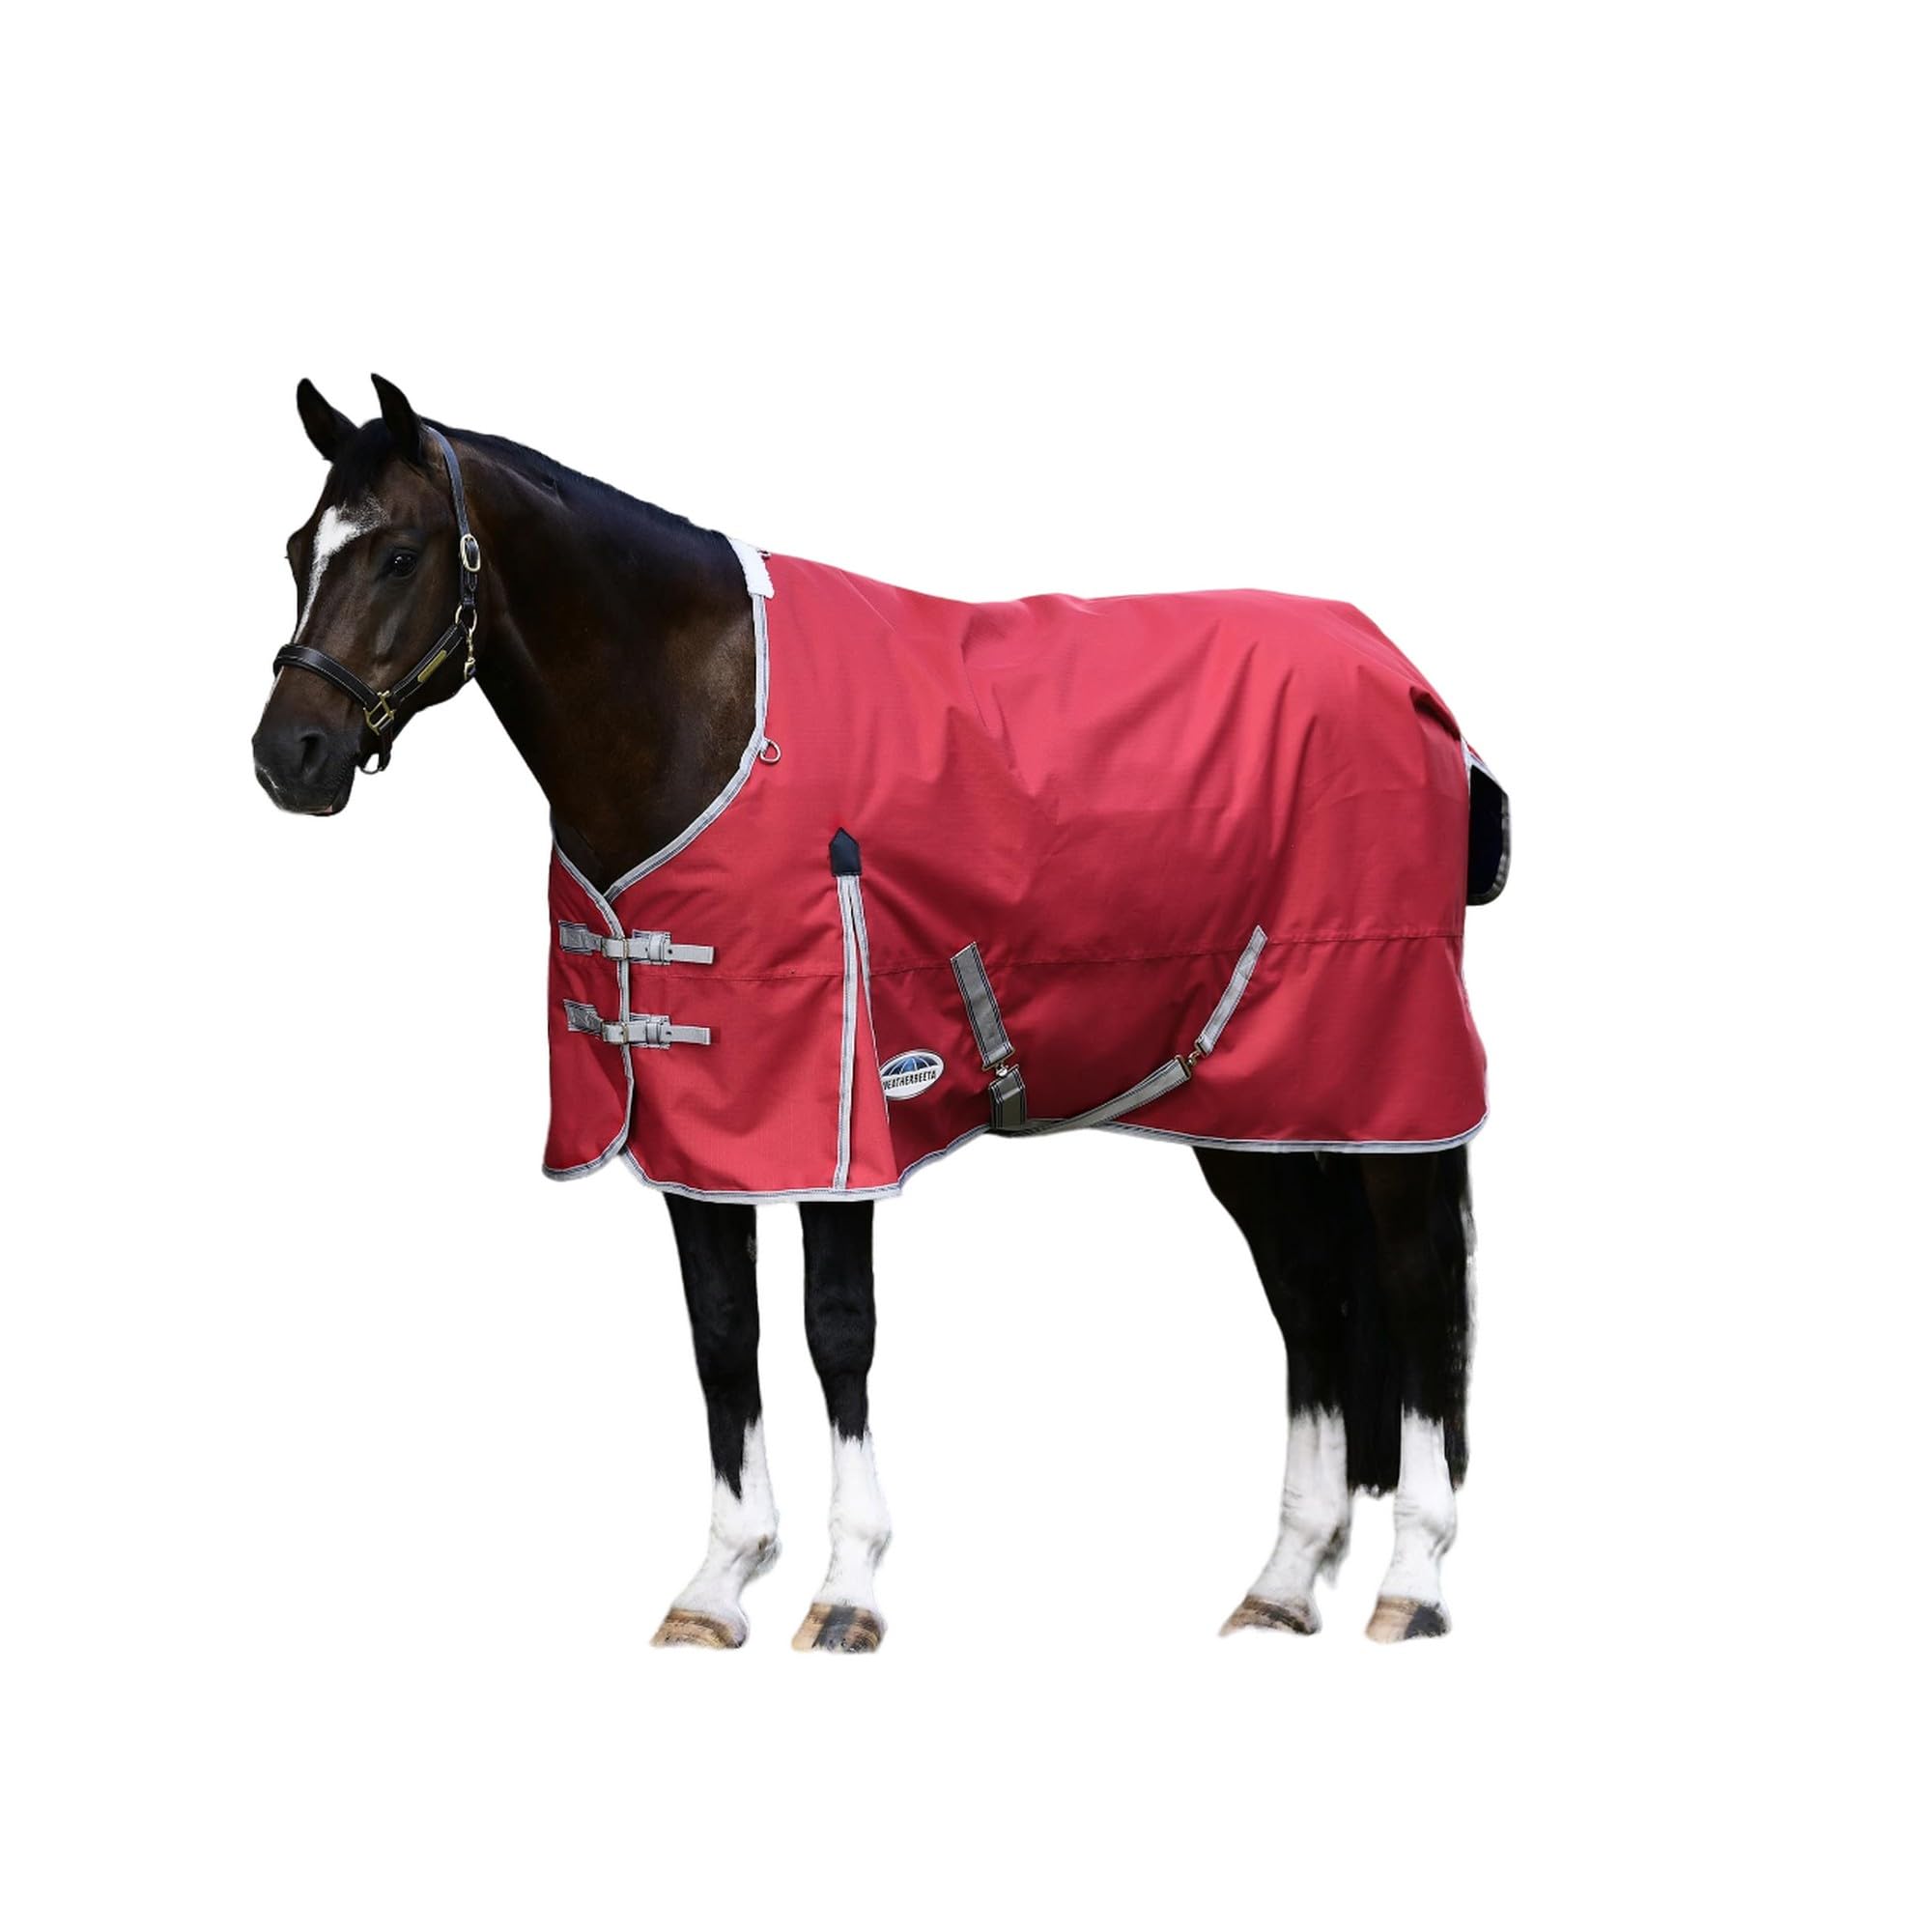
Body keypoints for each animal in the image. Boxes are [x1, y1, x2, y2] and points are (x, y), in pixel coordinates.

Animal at [251, 375, 1505, 1651]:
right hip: (1250, 1102)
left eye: (399, 553)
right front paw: (719, 1580)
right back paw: (1285, 1579)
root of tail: (1403, 676)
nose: (288, 754)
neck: (702, 719)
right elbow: (722, 1333)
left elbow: (835, 1328)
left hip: (1388, 1079)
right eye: (301, 547)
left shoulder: (839, 1108)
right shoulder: (701, 1129)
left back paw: (1410, 1580)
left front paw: (846, 1586)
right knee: (1308, 1292)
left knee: (1416, 1291)